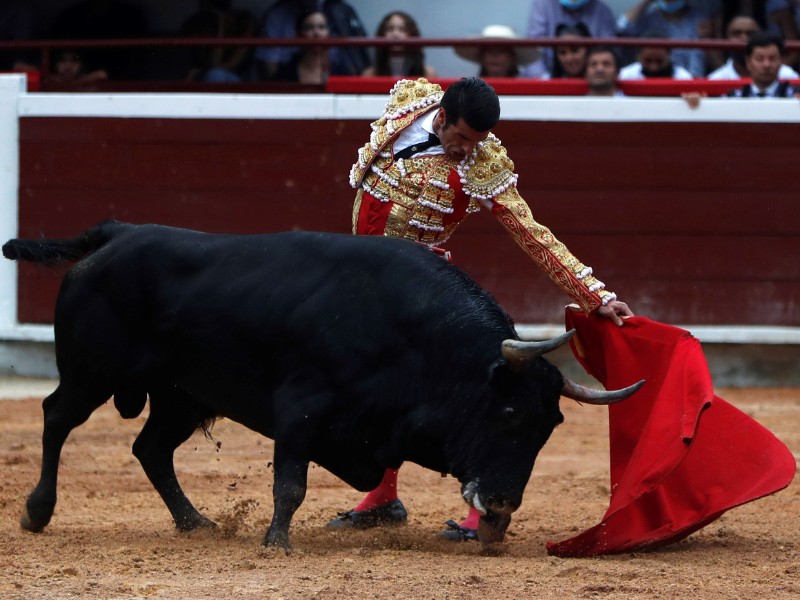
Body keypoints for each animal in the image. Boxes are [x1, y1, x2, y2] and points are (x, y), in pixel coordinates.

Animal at [1, 223, 644, 552]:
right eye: (506, 412)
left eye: (549, 426)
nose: (505, 503)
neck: (415, 338)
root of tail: (117, 234)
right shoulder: (300, 411)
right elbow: (291, 484)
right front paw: (276, 542)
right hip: (92, 372)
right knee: (57, 416)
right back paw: (37, 511)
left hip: (184, 395)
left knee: (150, 448)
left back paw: (194, 522)